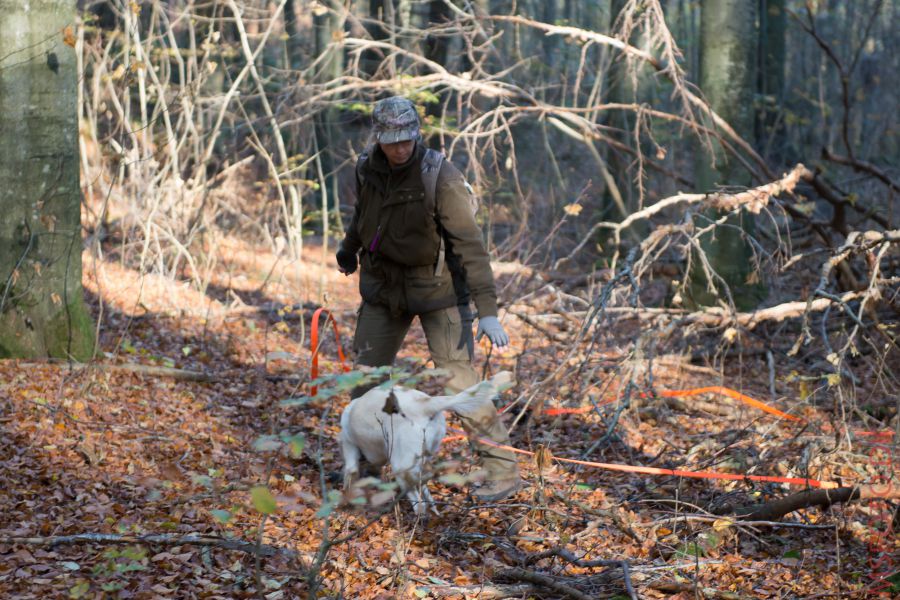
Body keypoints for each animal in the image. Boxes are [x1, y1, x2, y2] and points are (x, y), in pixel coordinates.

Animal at [340, 372, 512, 512]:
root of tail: (425, 403)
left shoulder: (350, 448)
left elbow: (351, 473)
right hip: (422, 458)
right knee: (425, 488)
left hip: (401, 466)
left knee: (419, 504)